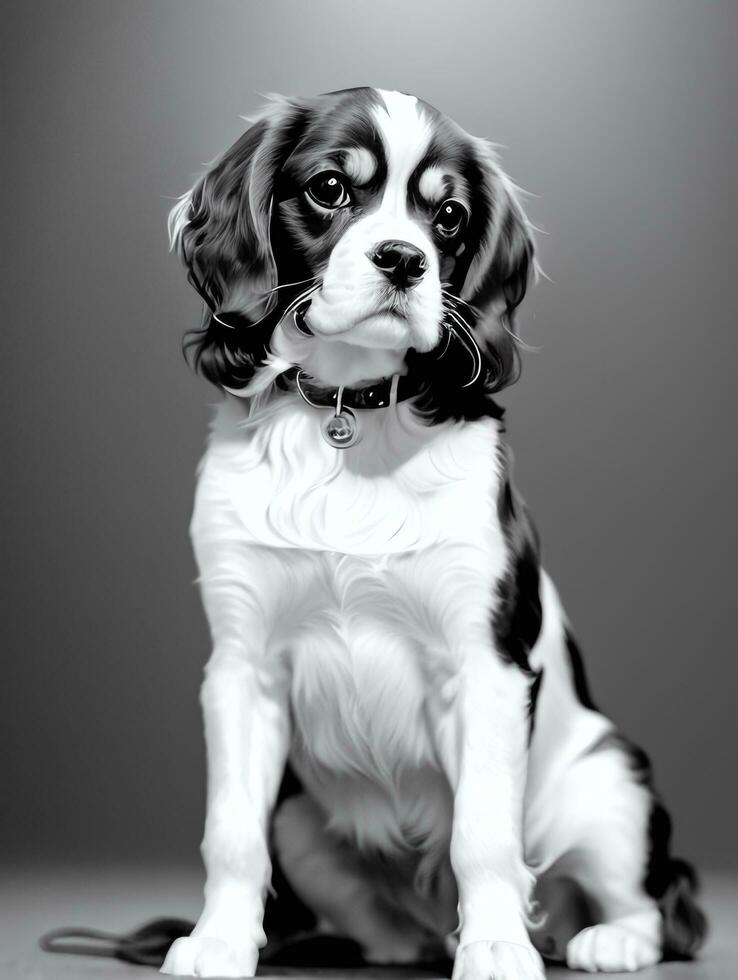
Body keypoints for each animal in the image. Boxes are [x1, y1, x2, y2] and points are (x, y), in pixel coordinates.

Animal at [160, 88, 700, 976]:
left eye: (447, 215)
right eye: (330, 188)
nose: (404, 260)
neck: (348, 414)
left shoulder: (483, 670)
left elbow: (484, 834)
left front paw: (496, 946)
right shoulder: (242, 668)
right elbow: (231, 833)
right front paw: (218, 943)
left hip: (609, 784)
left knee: (653, 902)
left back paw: (605, 939)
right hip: (302, 821)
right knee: (384, 923)